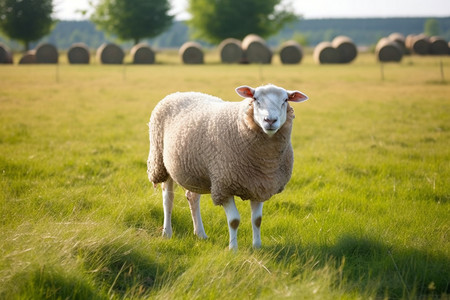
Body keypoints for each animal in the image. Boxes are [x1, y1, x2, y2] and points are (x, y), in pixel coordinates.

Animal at [148, 84, 310, 248]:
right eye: (255, 99)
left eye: (285, 100)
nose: (270, 120)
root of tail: (181, 93)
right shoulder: (224, 186)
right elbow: (234, 221)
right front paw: (233, 248)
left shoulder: (259, 184)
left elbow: (257, 220)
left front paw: (257, 247)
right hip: (161, 162)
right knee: (168, 199)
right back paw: (167, 232)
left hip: (197, 172)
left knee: (192, 198)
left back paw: (200, 233)